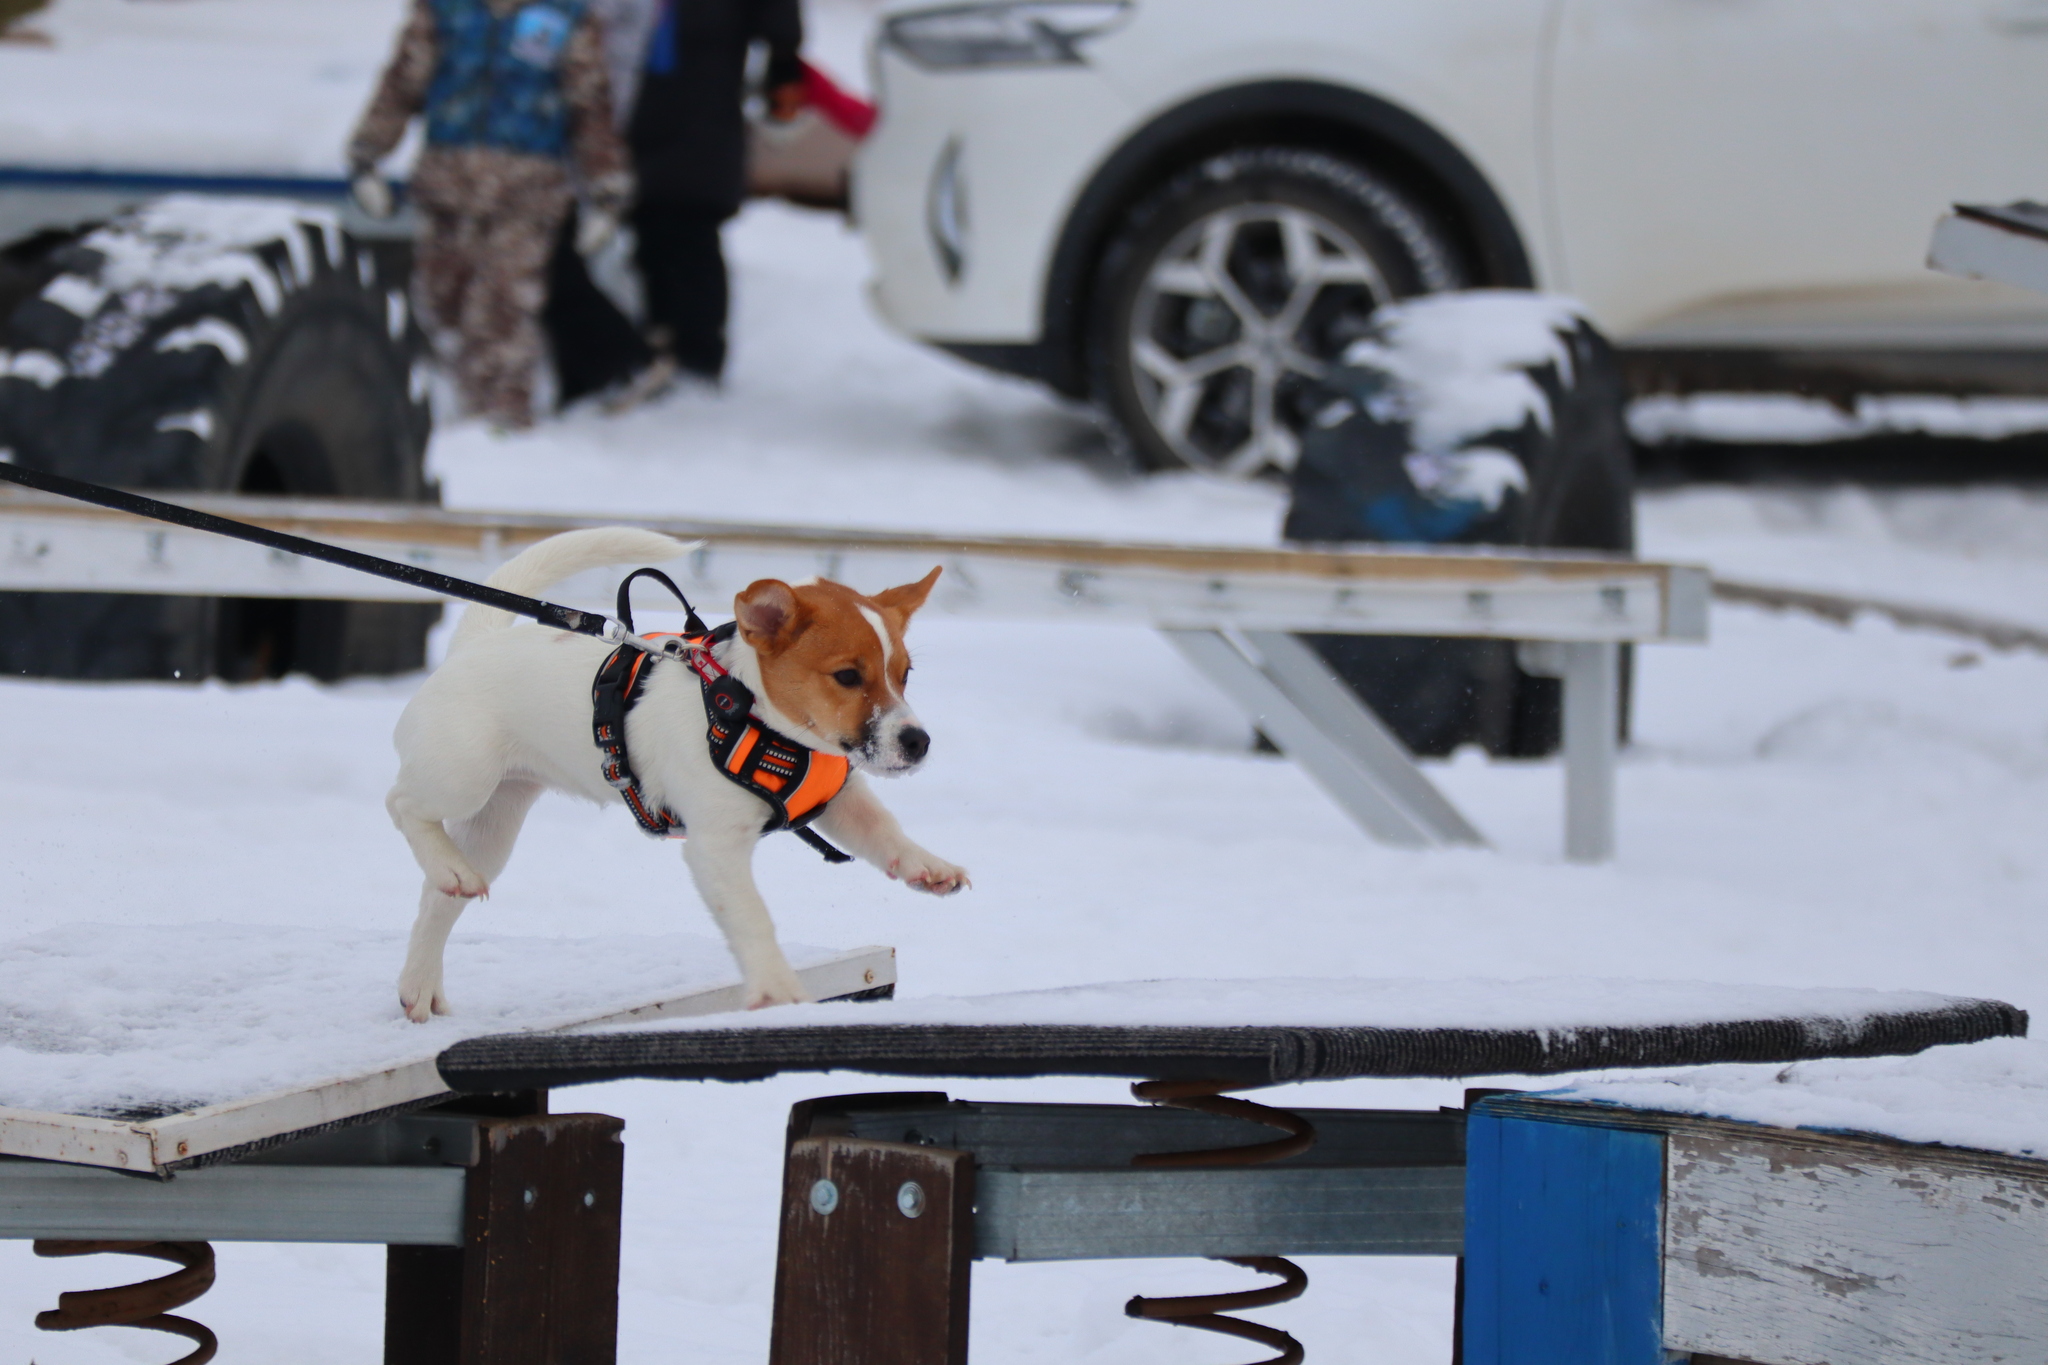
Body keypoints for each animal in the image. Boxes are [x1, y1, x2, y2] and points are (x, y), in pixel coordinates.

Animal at [387, 527, 970, 1019]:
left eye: (905, 674)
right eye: (847, 676)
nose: (918, 743)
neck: (753, 713)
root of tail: (475, 643)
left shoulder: (841, 796)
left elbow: (882, 830)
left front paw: (926, 866)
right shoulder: (716, 848)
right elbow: (753, 917)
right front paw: (778, 991)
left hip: (494, 824)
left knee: (436, 900)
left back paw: (422, 978)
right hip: (463, 776)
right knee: (401, 805)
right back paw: (443, 867)